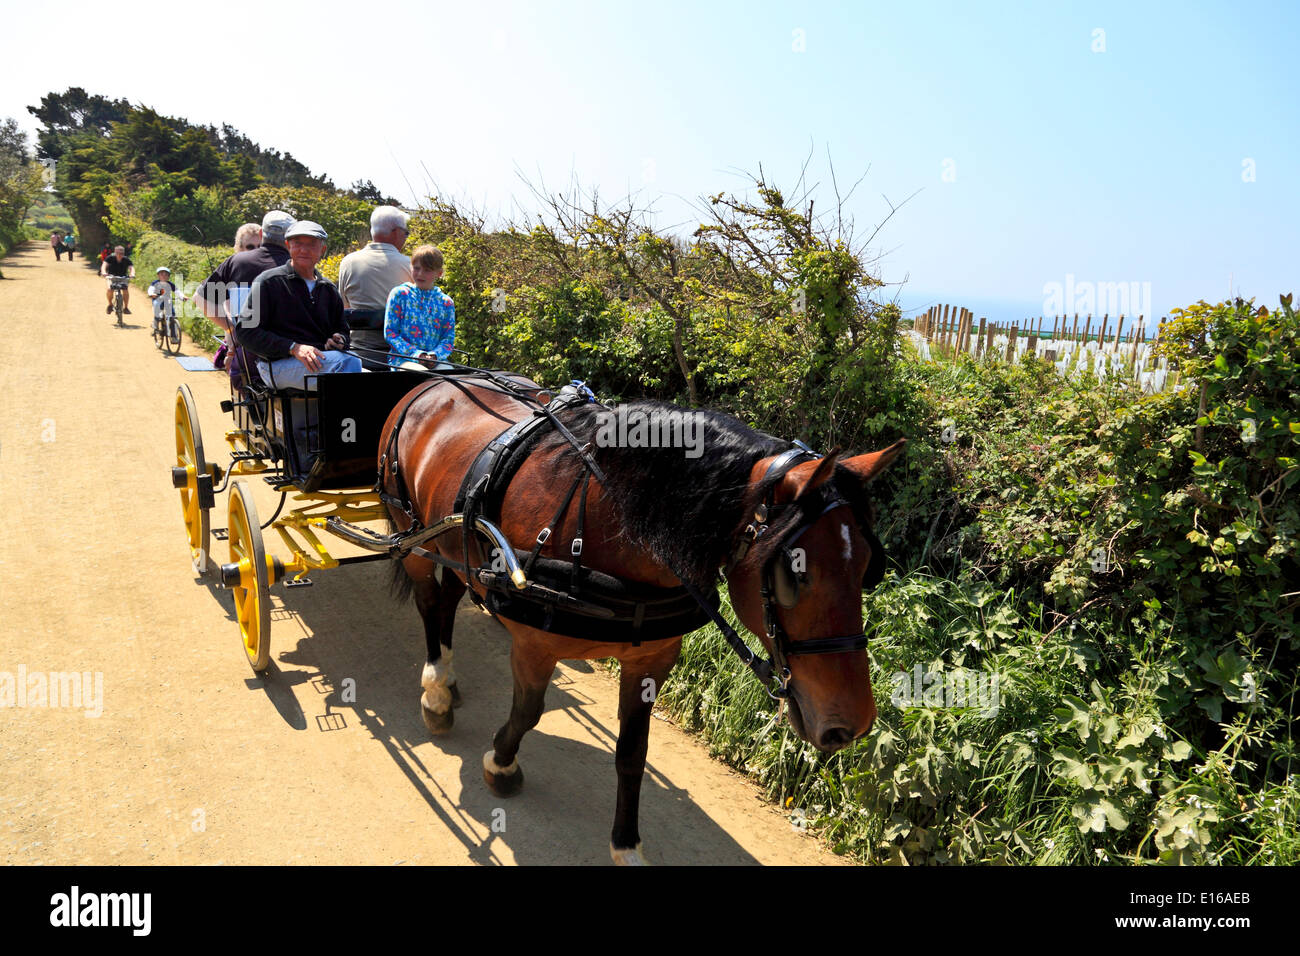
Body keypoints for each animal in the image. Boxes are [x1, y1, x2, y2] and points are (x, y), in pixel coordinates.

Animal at [377, 374, 904, 868]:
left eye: (868, 568)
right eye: (795, 574)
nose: (853, 724)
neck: (602, 522)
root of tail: (435, 380)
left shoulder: (652, 658)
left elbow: (633, 752)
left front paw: (626, 843)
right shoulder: (534, 646)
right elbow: (528, 713)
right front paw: (500, 765)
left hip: (451, 544)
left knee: (450, 595)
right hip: (411, 532)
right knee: (431, 603)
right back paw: (436, 690)